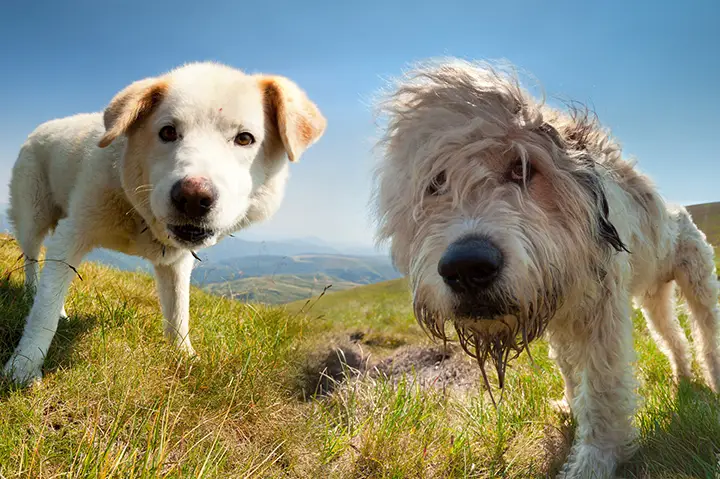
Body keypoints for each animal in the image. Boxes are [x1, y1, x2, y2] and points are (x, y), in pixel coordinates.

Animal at [4, 62, 326, 388]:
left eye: (245, 138)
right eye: (168, 132)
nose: (193, 198)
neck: (138, 212)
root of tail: (41, 127)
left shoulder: (176, 263)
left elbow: (178, 311)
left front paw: (185, 355)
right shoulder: (72, 236)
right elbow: (43, 311)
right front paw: (24, 366)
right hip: (32, 215)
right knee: (33, 261)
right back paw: (36, 294)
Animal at [372, 58, 720, 478]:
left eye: (522, 168)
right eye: (436, 181)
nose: (467, 267)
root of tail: (680, 212)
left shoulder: (602, 315)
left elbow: (603, 388)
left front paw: (595, 459)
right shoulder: (561, 318)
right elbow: (572, 375)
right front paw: (571, 407)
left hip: (699, 286)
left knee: (706, 336)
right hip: (654, 299)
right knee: (672, 337)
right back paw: (682, 374)